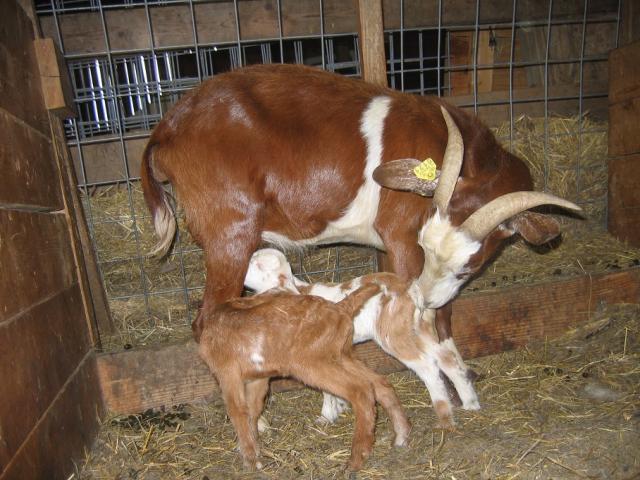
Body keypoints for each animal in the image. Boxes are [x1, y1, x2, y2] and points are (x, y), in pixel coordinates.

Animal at [140, 63, 580, 344]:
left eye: (470, 267)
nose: (428, 296)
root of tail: (168, 126)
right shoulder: (402, 232)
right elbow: (430, 311)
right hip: (230, 230)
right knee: (207, 319)